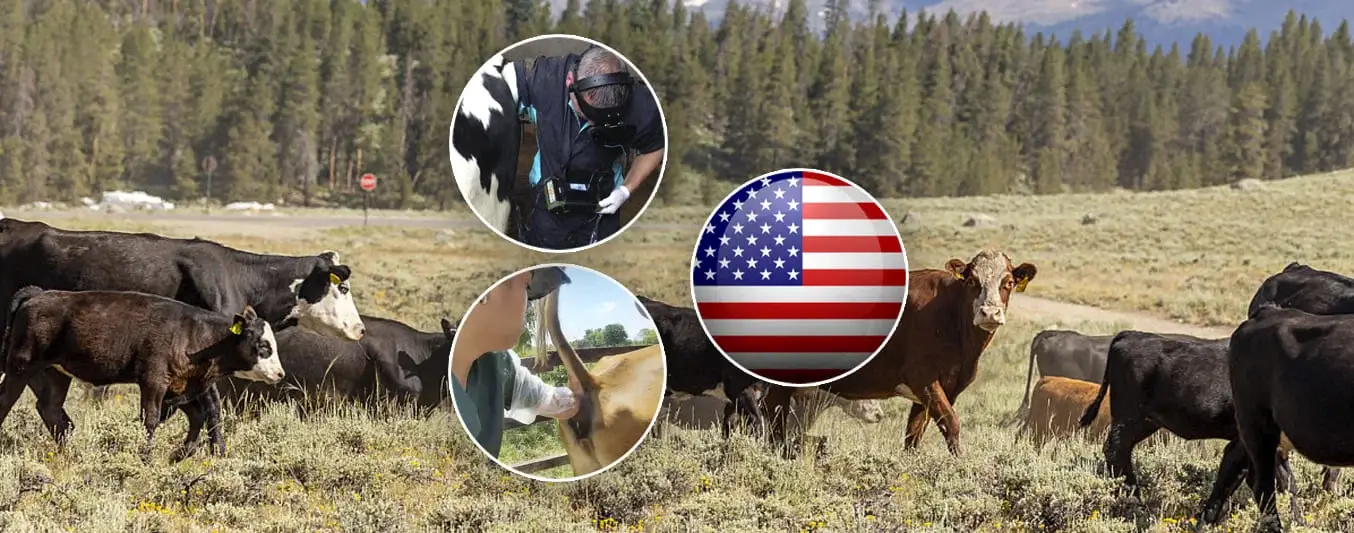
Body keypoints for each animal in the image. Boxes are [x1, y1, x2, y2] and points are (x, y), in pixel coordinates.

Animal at [769, 247, 1039, 457]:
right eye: (972, 281)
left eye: (1009, 283)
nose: (990, 313)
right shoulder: (923, 378)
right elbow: (951, 422)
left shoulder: (942, 389)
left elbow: (913, 435)